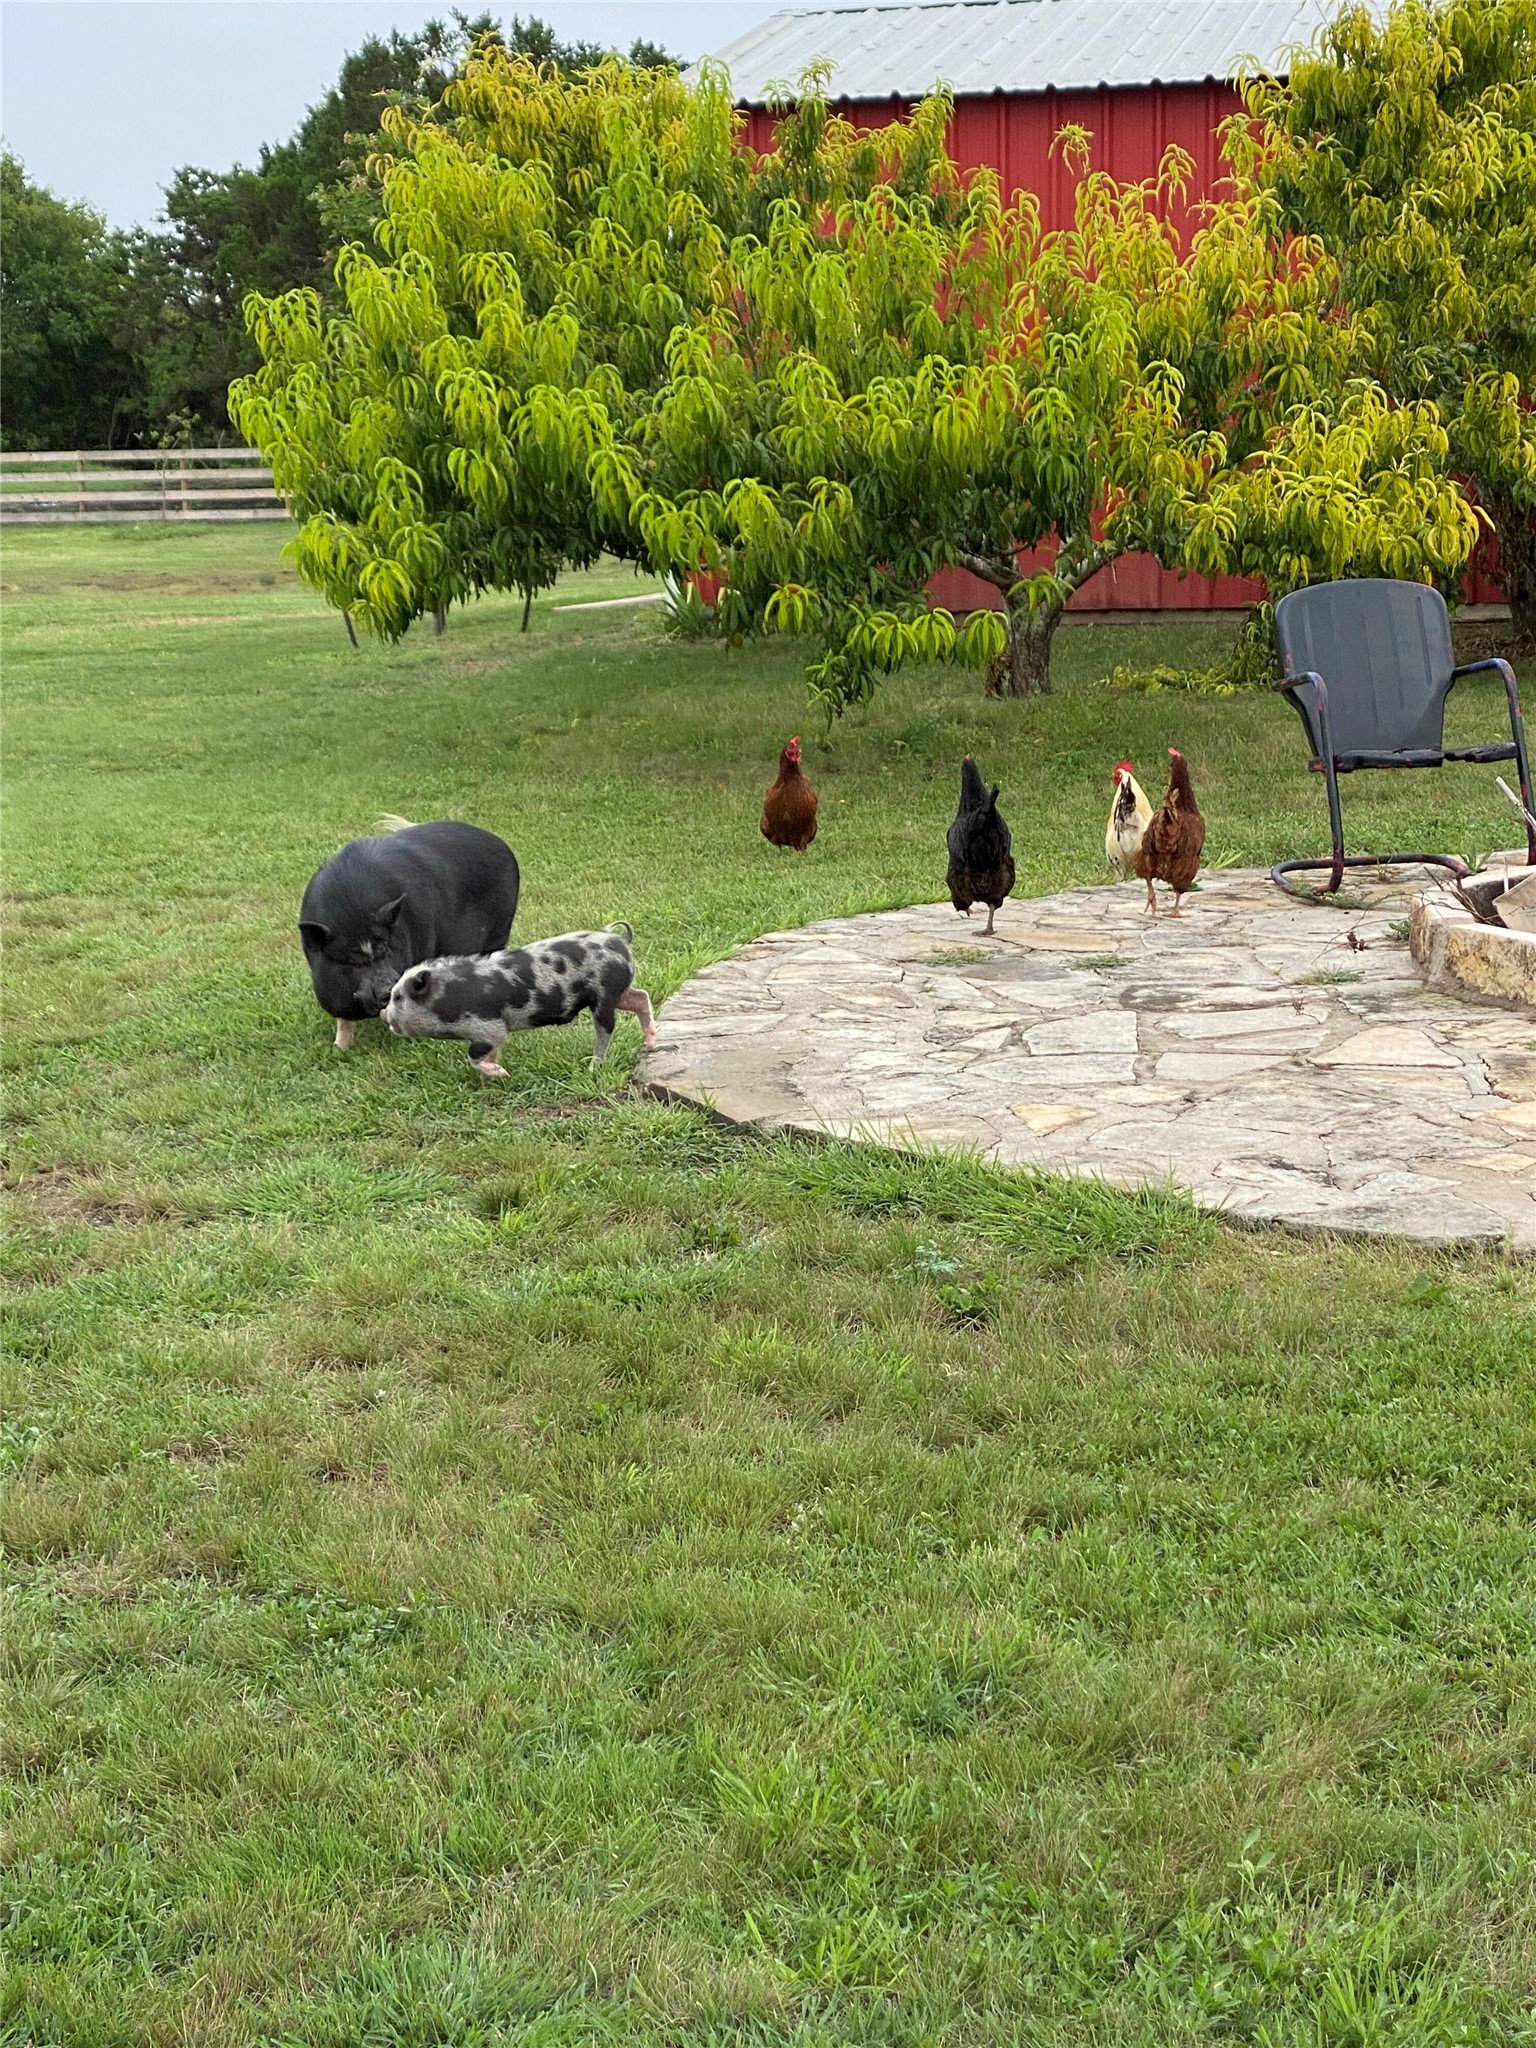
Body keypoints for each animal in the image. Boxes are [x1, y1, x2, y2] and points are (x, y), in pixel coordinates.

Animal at [299, 819, 520, 1048]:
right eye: (350, 962)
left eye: (385, 948)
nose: (388, 988)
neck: (352, 913)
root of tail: (501, 843)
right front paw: (341, 1047)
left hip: (501, 927)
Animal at [384, 924, 656, 1079]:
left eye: (397, 997)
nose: (383, 1014)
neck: (447, 997)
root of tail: (620, 941)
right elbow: (489, 1055)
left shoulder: (487, 1027)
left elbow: (476, 1056)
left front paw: (503, 1074)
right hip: (618, 991)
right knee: (641, 997)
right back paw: (651, 1044)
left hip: (603, 995)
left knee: (607, 1028)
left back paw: (593, 1066)